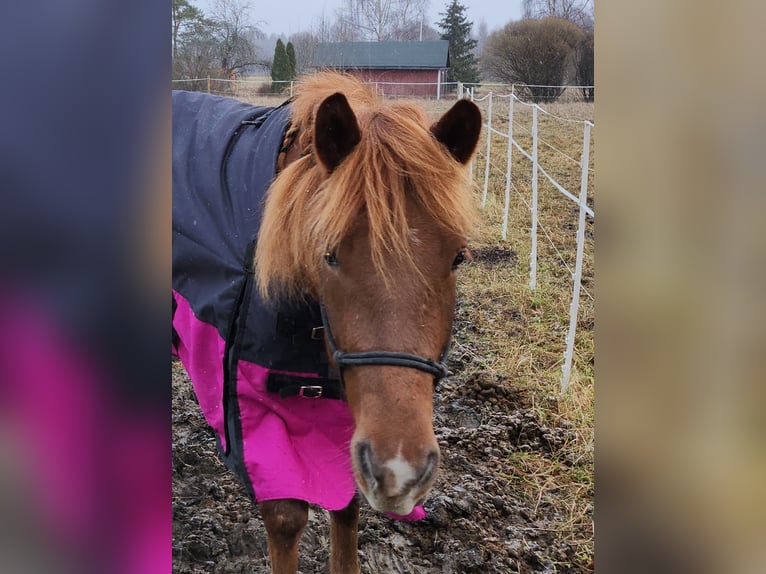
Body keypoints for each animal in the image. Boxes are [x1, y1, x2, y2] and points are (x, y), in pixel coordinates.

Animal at [174, 73, 484, 574]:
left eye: (458, 256)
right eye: (330, 254)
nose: (401, 471)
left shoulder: (348, 413)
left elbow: (346, 504)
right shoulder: (254, 410)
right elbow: (287, 516)